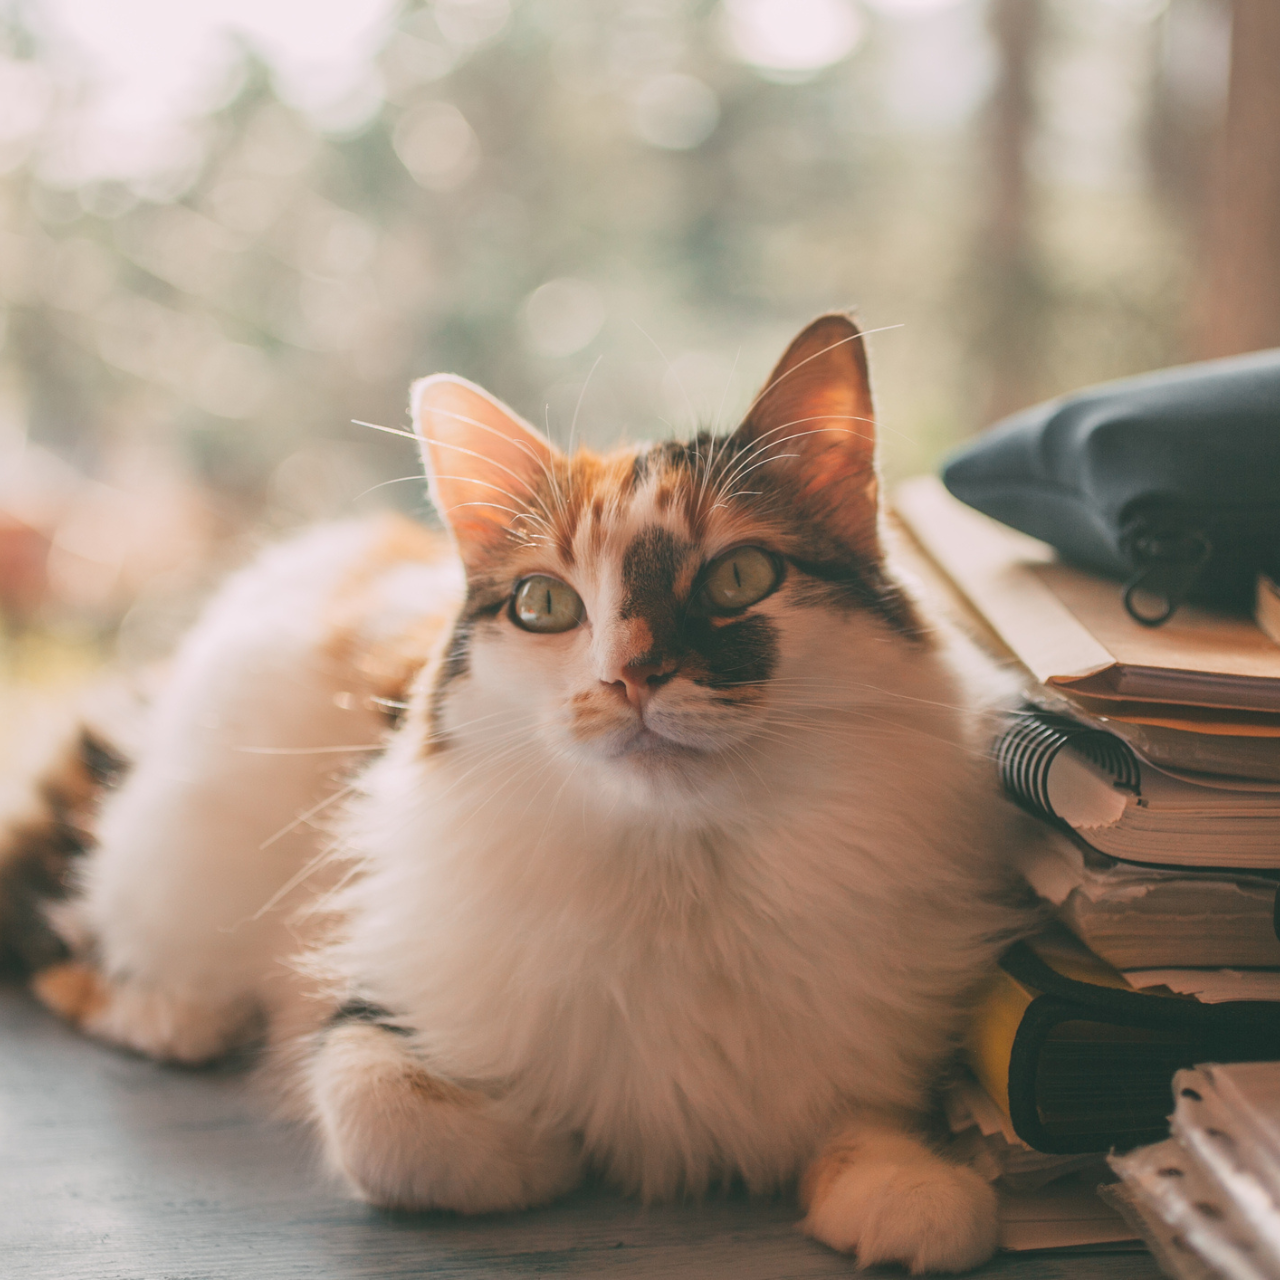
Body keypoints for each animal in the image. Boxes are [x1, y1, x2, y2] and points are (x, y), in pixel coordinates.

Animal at [2, 317, 1039, 1269]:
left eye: (741, 578)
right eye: (546, 606)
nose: (631, 676)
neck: (680, 876)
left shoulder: (877, 1048)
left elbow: (869, 1127)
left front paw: (914, 1196)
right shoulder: (370, 1012)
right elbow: (393, 1123)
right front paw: (552, 1149)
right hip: (176, 870)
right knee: (68, 946)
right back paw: (183, 1020)